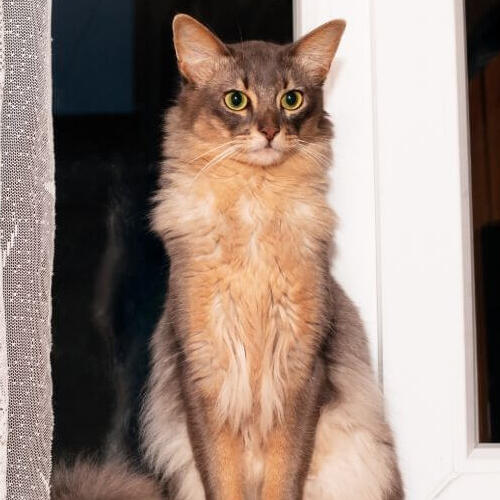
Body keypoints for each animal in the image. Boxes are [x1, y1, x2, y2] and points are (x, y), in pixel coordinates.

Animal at [140, 11, 402, 500]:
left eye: (291, 99)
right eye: (236, 99)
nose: (268, 131)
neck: (253, 207)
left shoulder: (302, 367)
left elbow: (284, 477)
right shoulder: (203, 368)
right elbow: (222, 480)